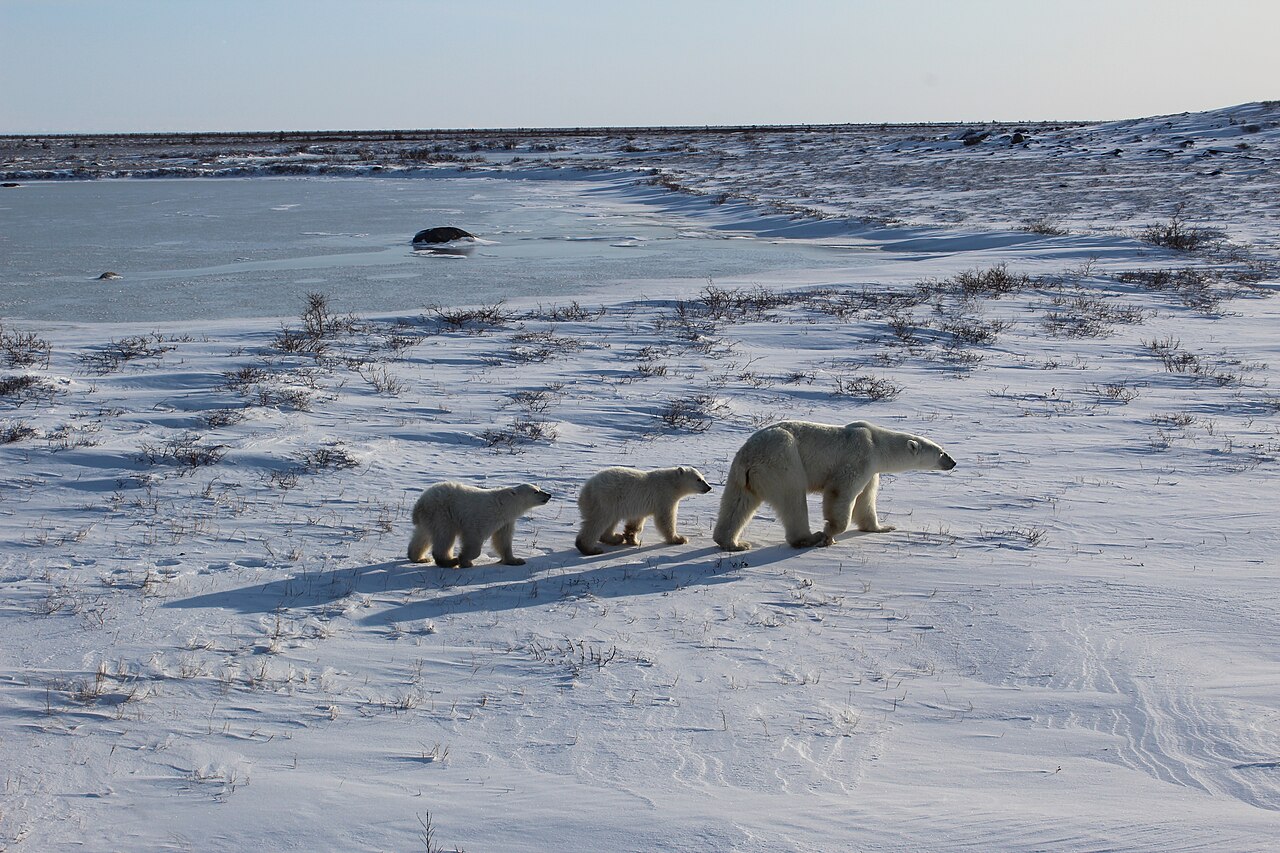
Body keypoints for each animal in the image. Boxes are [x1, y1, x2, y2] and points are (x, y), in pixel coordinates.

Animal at [407, 482, 551, 567]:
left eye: (539, 488)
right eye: (536, 491)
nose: (549, 495)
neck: (505, 504)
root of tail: (420, 503)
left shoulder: (506, 521)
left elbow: (503, 540)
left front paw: (516, 560)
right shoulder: (484, 516)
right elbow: (474, 537)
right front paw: (465, 560)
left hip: (429, 517)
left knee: (422, 536)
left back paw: (419, 558)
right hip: (442, 514)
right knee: (444, 537)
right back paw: (449, 561)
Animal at [575, 466, 712, 556]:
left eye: (703, 477)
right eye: (699, 479)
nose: (709, 487)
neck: (672, 483)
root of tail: (586, 489)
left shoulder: (640, 505)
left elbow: (636, 522)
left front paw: (632, 538)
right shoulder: (664, 496)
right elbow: (666, 518)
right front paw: (679, 539)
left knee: (609, 522)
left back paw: (616, 538)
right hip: (605, 500)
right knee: (598, 523)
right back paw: (590, 549)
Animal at [712, 420, 956, 552]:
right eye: (941, 452)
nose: (953, 462)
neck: (877, 443)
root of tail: (749, 457)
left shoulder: (871, 471)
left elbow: (866, 500)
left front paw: (882, 527)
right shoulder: (859, 457)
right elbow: (841, 493)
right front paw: (829, 534)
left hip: (742, 475)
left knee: (737, 503)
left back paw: (733, 543)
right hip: (783, 460)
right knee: (793, 498)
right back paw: (809, 537)